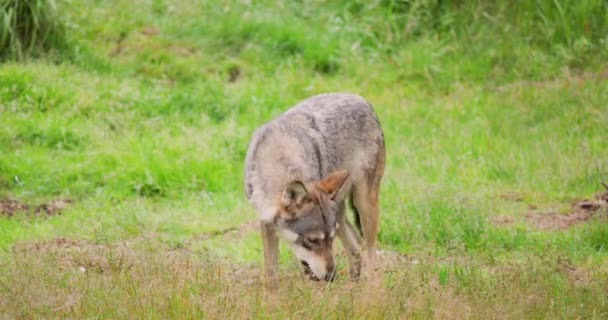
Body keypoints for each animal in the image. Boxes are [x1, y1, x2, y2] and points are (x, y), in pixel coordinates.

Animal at [243, 93, 382, 284]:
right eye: (312, 240)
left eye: (330, 239)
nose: (331, 276)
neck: (280, 157)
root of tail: (360, 98)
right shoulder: (266, 222)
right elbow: (271, 274)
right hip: (340, 214)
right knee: (356, 247)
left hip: (363, 206)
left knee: (370, 252)